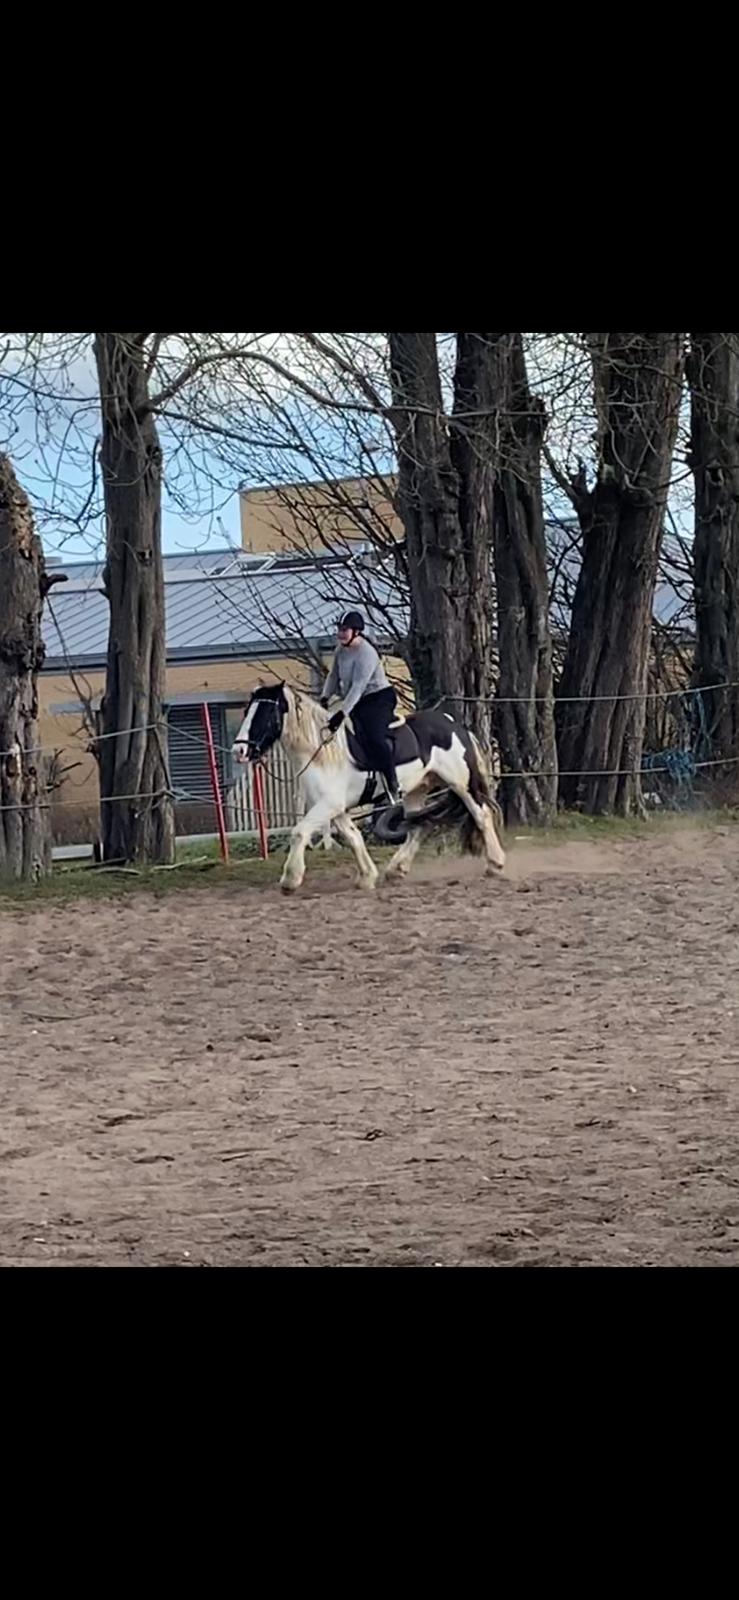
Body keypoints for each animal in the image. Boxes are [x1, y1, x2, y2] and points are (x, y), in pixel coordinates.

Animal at [231, 681, 508, 896]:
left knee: (481, 815)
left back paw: (495, 864)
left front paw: (290, 880)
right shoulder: (337, 808)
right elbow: (354, 838)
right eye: (247, 711)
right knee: (419, 826)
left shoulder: (328, 805)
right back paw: (396, 870)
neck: (321, 751)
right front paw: (367, 877)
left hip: (460, 784)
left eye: (266, 713)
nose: (239, 751)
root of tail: (454, 725)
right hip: (417, 790)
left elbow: (299, 832)